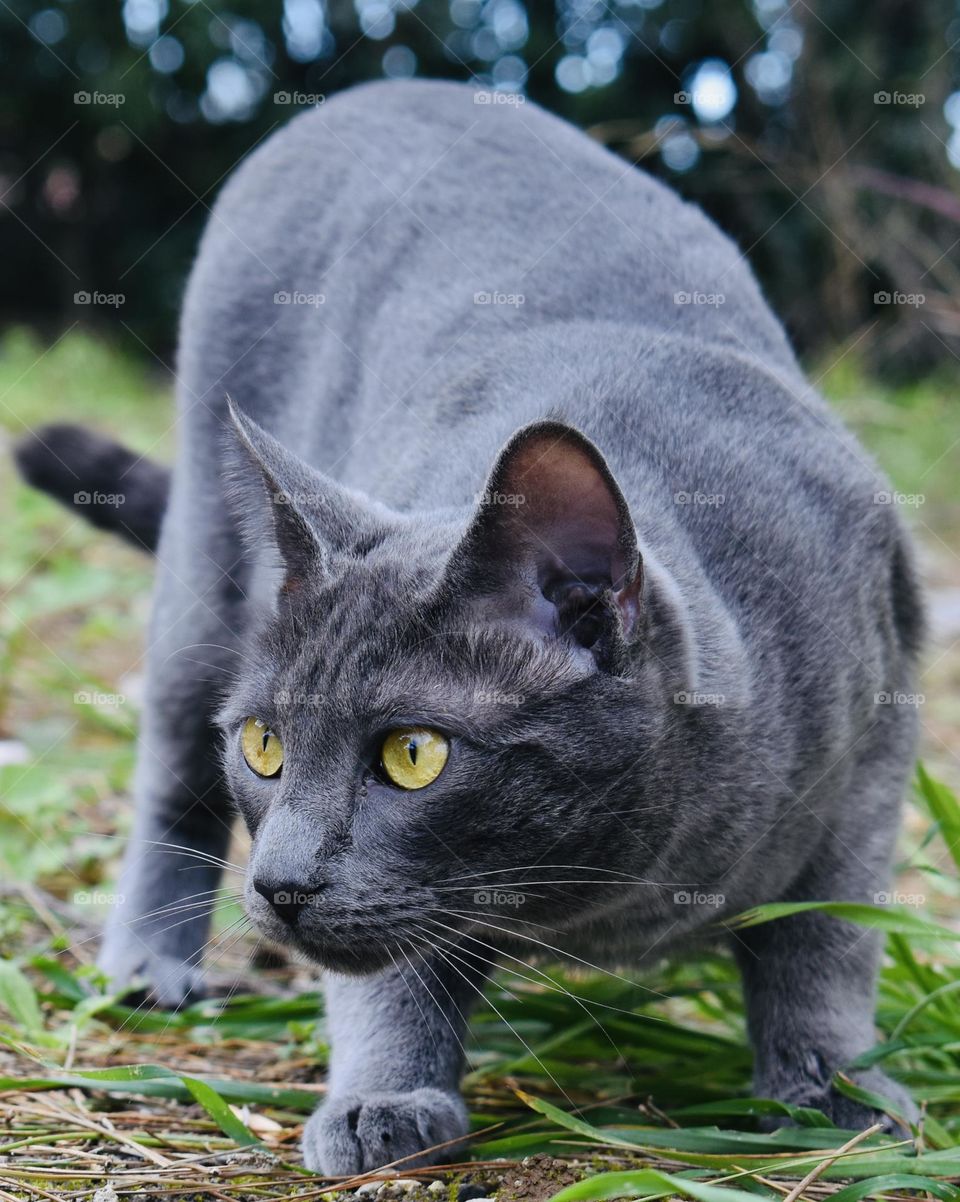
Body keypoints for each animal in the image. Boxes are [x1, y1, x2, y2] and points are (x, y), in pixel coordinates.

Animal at [13, 79, 922, 1168]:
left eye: (415, 754)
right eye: (265, 746)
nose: (279, 882)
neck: (617, 894)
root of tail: (373, 91)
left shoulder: (877, 730)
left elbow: (826, 936)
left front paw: (833, 1090)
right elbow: (388, 971)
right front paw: (385, 1099)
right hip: (201, 569)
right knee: (169, 773)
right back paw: (150, 963)